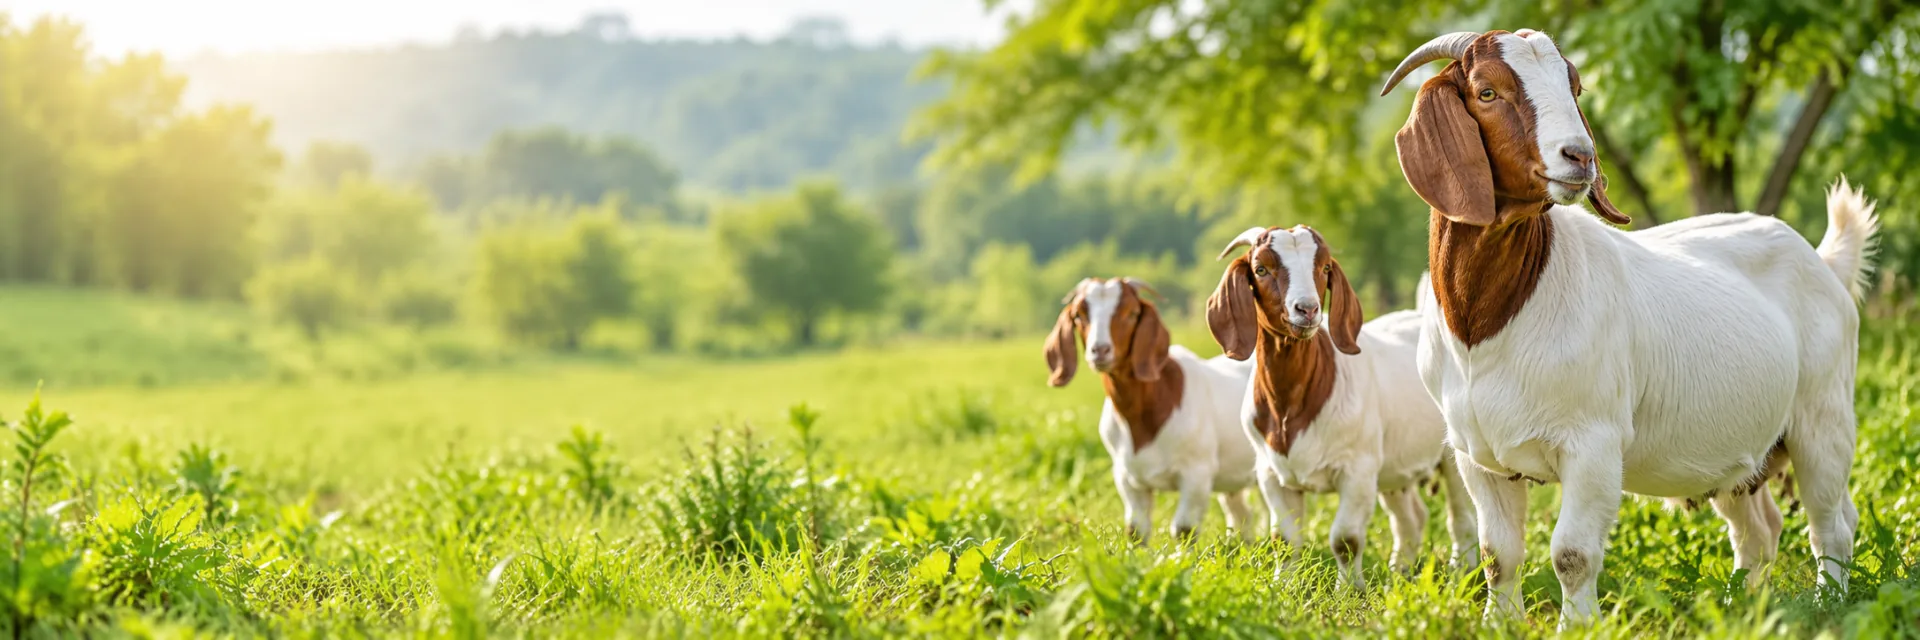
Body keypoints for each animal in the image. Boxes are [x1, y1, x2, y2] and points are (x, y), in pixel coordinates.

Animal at [1046, 277, 1260, 543]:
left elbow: (1184, 529)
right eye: (1078, 315)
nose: (1100, 350)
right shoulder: (1127, 478)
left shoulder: (1197, 474)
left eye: (1132, 313)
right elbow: (1136, 530)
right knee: (1240, 514)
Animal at [1207, 226, 1477, 589]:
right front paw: (1282, 585)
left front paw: (1349, 591)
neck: (1291, 405)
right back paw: (1400, 572)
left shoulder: (1358, 469)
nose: (1307, 309)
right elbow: (1284, 539)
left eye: (1323, 268)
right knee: (1411, 517)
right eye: (1261, 269)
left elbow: (1345, 539)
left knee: (1461, 516)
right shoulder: (1271, 474)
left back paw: (1463, 572)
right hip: (1394, 466)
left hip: (1451, 457)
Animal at [1381, 29, 1876, 626]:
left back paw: (1829, 604)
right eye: (1486, 91)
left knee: (1831, 523)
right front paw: (1499, 624)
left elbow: (1571, 553)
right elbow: (1498, 555)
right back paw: (1741, 606)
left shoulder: (1593, 442)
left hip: (1822, 417)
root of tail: (1825, 262)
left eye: (1574, 87)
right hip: (1746, 452)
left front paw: (1578, 628)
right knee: (1762, 530)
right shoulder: (1477, 456)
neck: (1489, 323)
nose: (1581, 156)